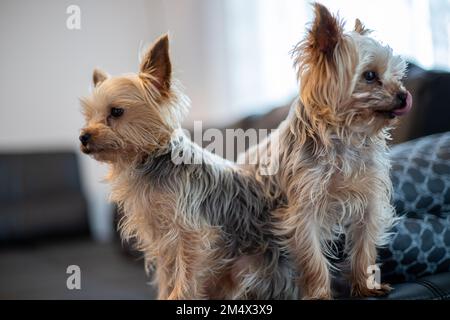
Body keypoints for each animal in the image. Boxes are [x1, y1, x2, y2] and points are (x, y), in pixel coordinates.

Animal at [78, 33, 296, 298]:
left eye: (117, 111)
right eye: (88, 117)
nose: (83, 136)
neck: (148, 162)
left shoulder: (193, 236)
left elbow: (185, 279)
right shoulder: (161, 241)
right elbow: (166, 279)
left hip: (248, 269)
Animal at [241, 1, 414, 300]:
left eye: (397, 76)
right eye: (370, 76)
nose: (404, 95)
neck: (346, 136)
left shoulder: (368, 201)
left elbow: (364, 248)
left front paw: (366, 286)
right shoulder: (303, 210)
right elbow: (313, 259)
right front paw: (320, 293)